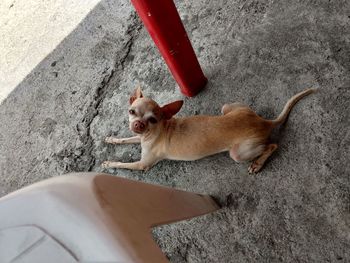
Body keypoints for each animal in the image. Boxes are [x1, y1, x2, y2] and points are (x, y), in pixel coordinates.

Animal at [100, 87, 314, 174]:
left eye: (152, 120)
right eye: (132, 112)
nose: (138, 125)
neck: (151, 134)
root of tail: (264, 122)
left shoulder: (142, 165)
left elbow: (122, 164)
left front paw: (109, 163)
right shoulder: (138, 137)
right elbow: (125, 139)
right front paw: (111, 139)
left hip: (238, 153)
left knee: (273, 145)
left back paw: (257, 164)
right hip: (227, 108)